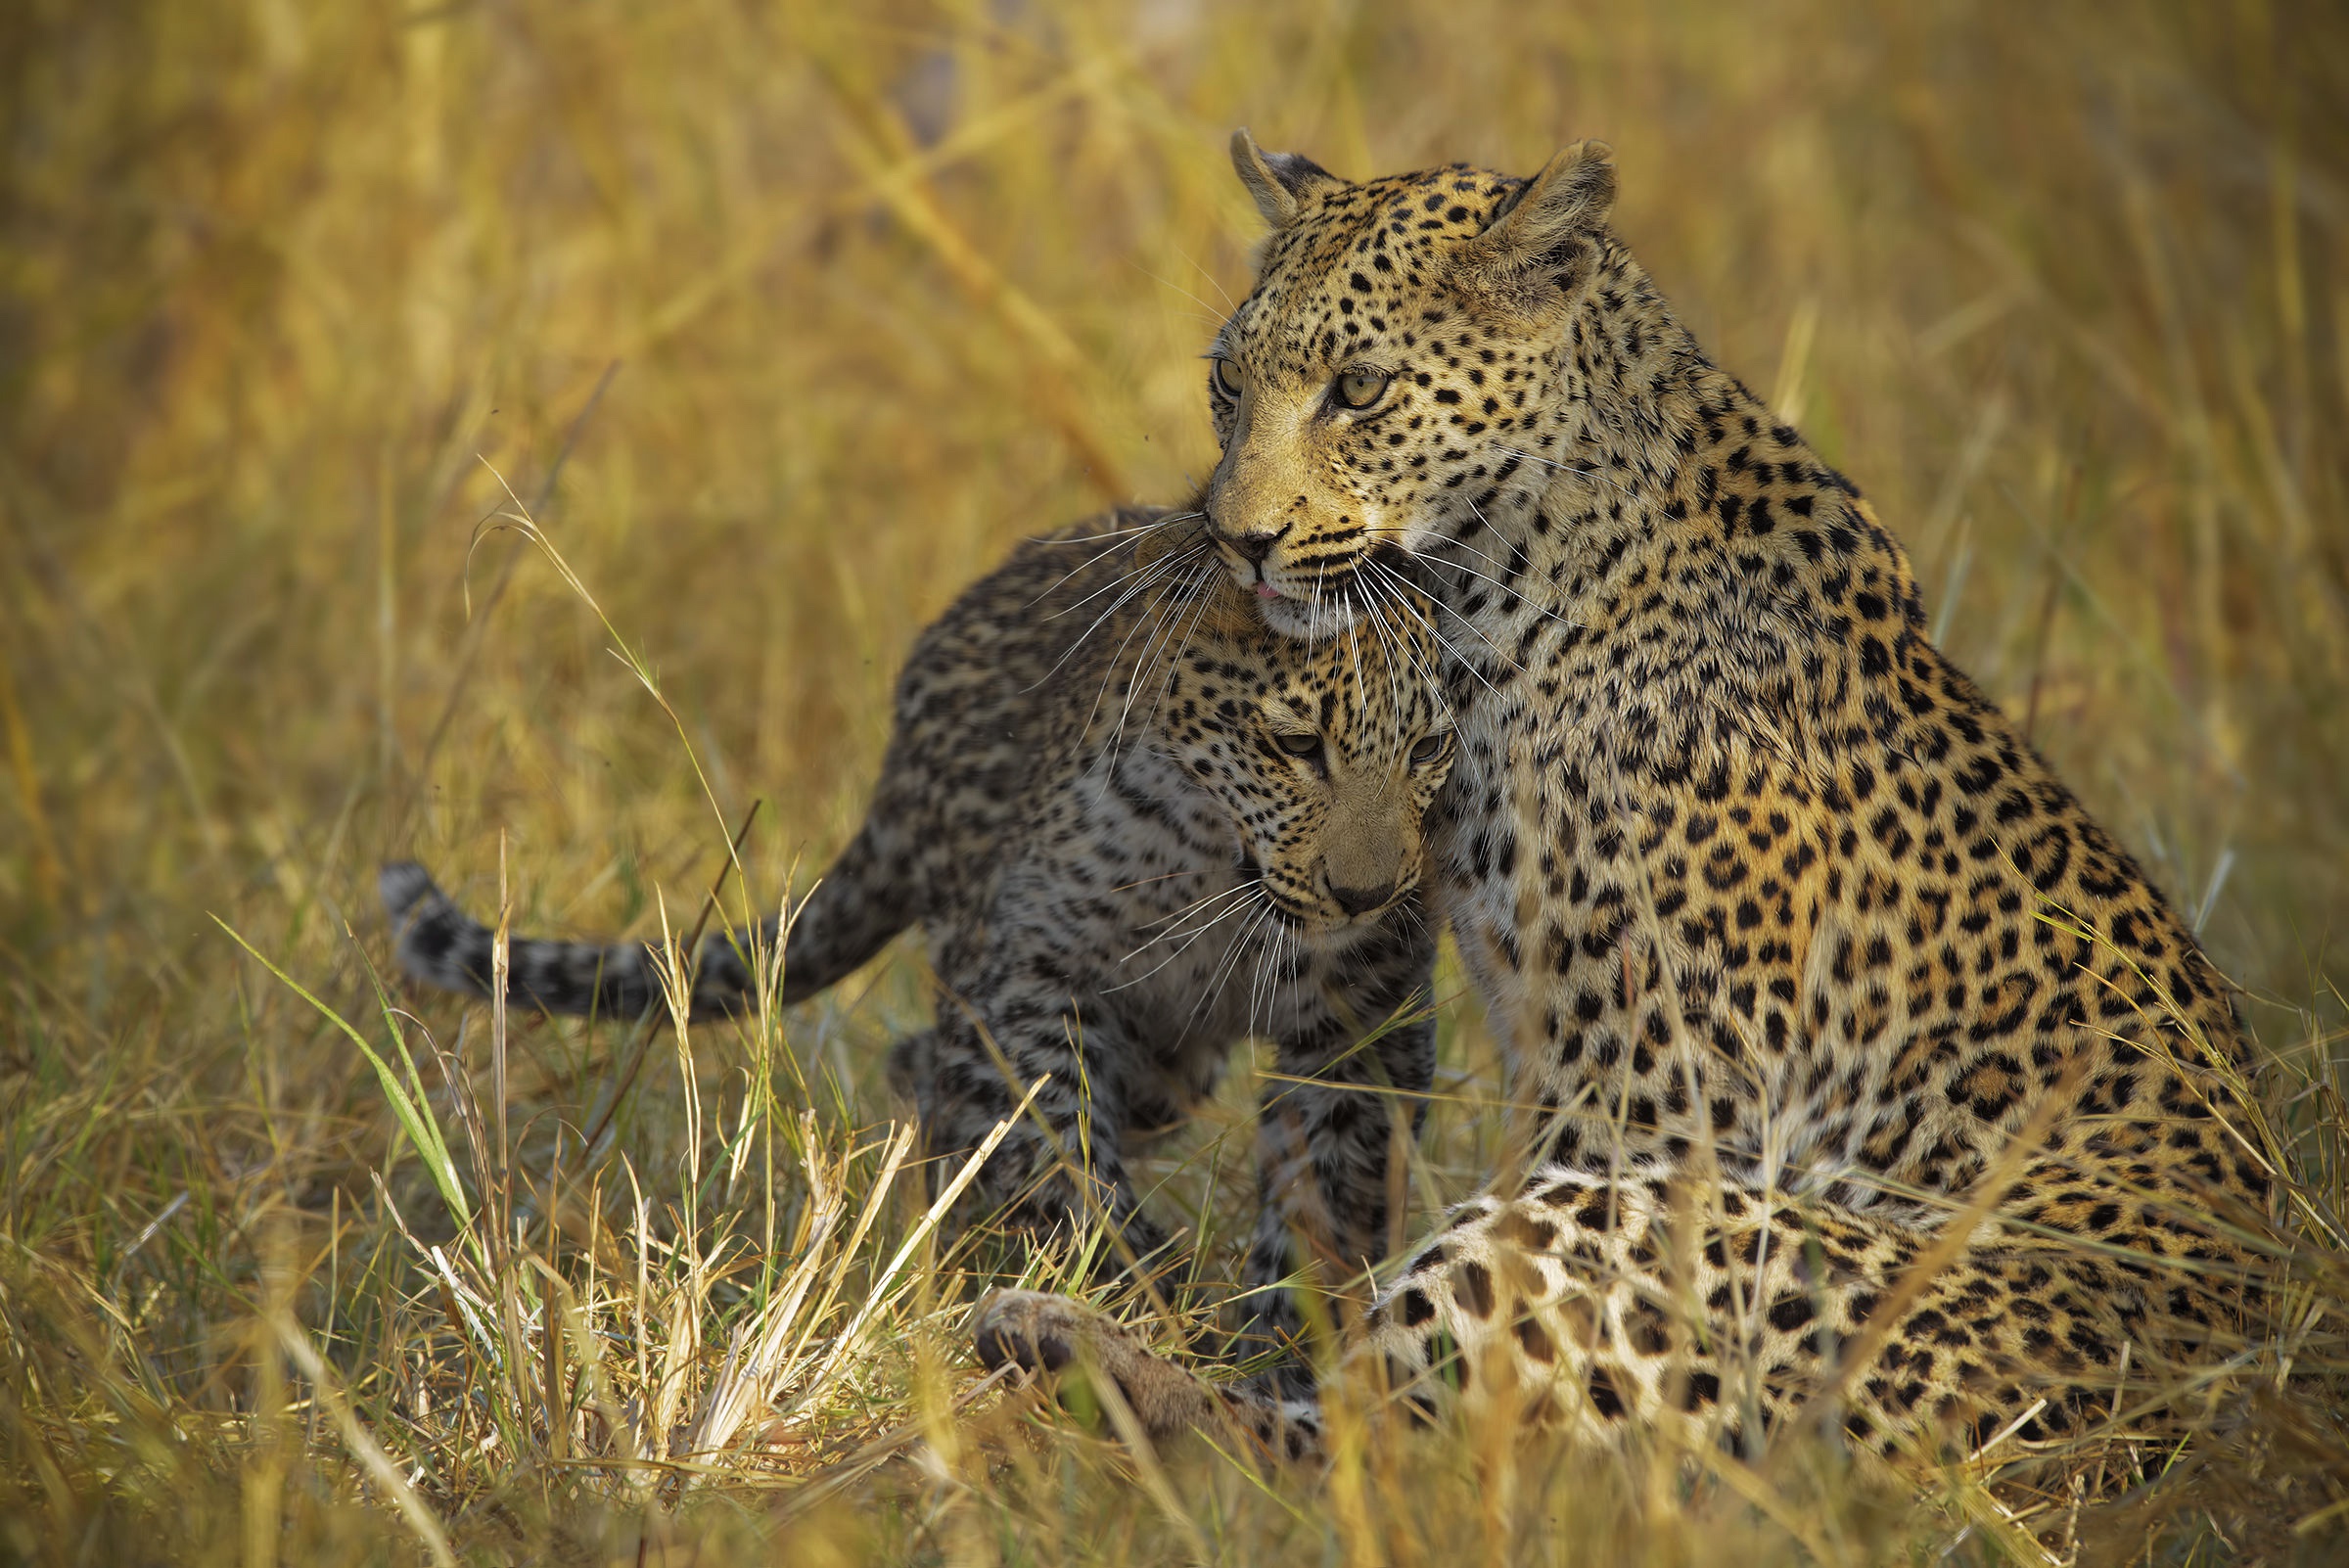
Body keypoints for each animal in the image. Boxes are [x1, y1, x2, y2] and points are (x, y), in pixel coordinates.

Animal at [977, 134, 2274, 1474]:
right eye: (1227, 385)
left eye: (1361, 388)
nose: (1234, 540)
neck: (1500, 579)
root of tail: (2175, 1424)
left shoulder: (1647, 1085)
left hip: (1659, 1231)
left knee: (1358, 1449)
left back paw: (1061, 1343)